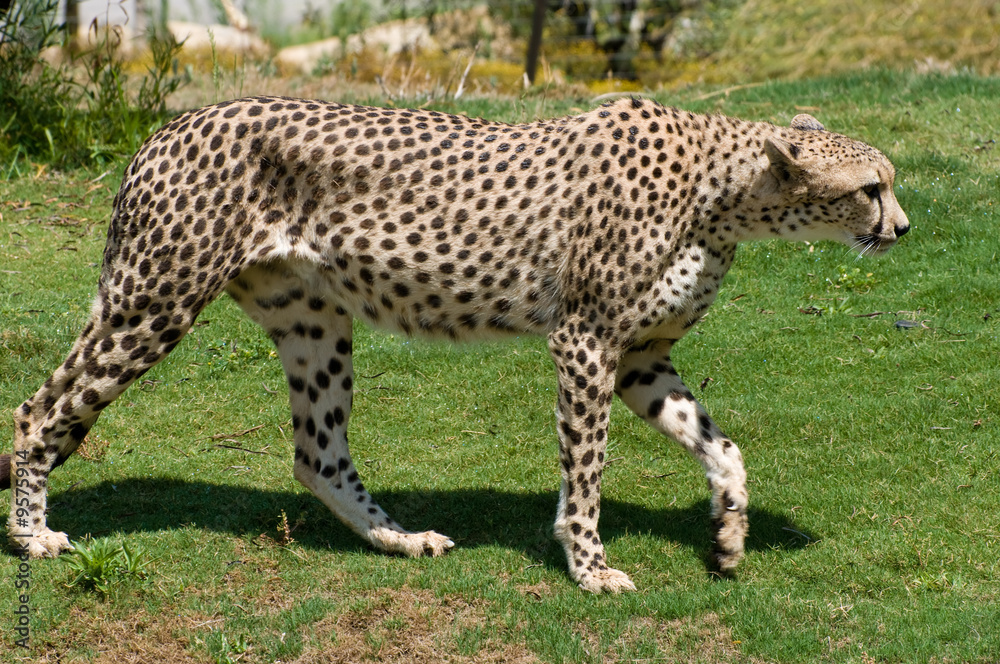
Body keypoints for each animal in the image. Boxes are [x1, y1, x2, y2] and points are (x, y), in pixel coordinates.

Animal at [2, 96, 908, 593]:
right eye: (872, 187)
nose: (902, 227)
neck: (725, 195)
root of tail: (169, 125)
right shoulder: (585, 342)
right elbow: (587, 471)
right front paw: (589, 567)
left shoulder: (639, 358)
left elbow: (724, 448)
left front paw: (727, 535)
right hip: (153, 302)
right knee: (38, 410)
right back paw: (33, 534)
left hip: (312, 323)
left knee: (318, 453)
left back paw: (400, 539)